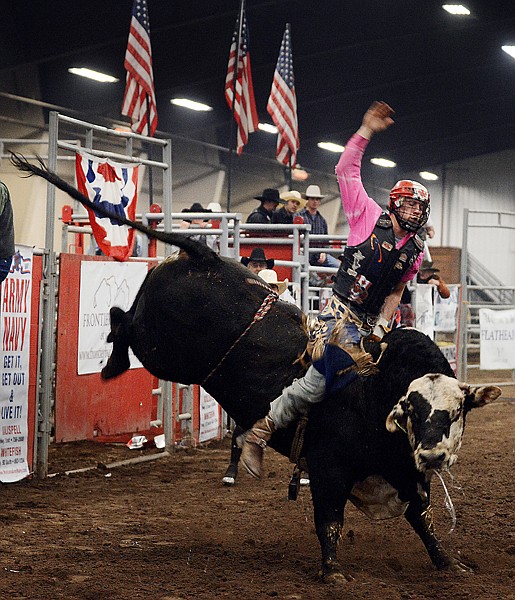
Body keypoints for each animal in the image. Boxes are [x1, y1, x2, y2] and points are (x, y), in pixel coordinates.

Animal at [12, 154, 502, 580]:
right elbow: (330, 519)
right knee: (120, 320)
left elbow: (424, 521)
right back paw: (113, 367)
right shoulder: (329, 469)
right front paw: (332, 572)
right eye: (412, 409)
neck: (376, 394)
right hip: (159, 346)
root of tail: (206, 255)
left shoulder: (406, 474)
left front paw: (449, 563)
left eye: (456, 412)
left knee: (122, 317)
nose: (435, 456)